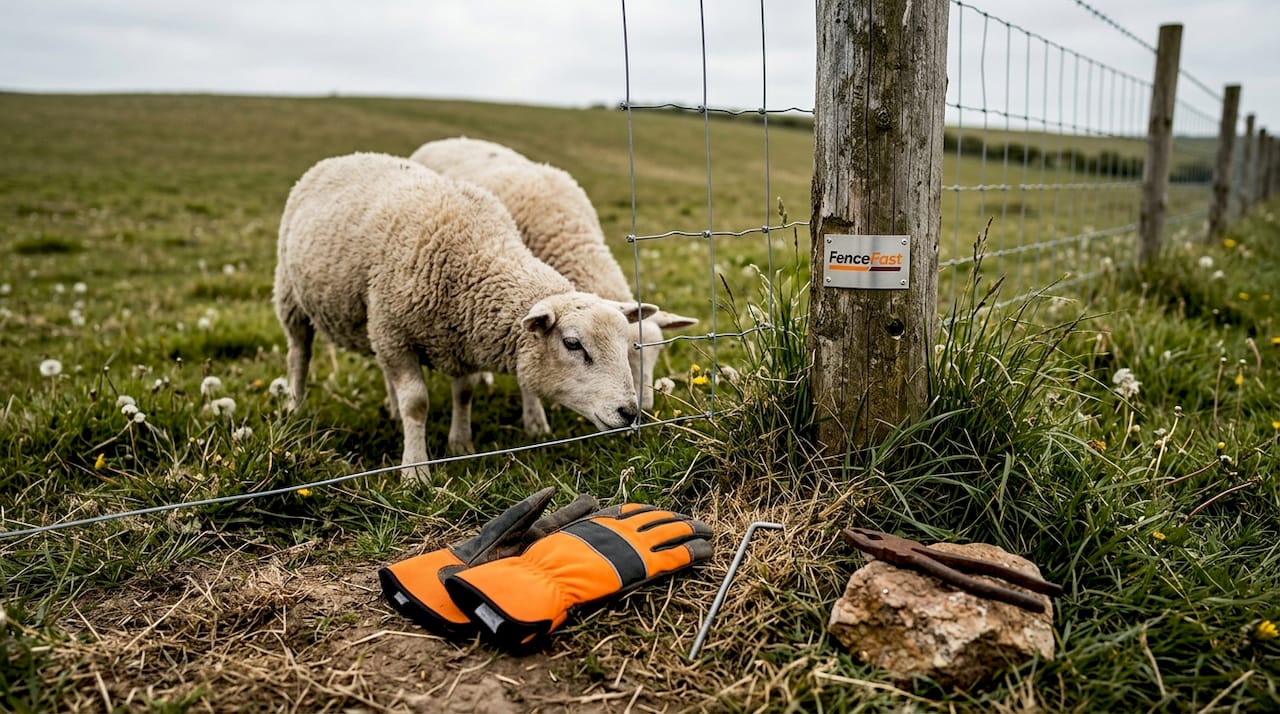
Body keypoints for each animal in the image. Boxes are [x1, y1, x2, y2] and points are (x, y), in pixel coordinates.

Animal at [274, 152, 657, 479]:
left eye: (625, 346)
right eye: (573, 344)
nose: (631, 412)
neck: (476, 255)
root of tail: (343, 157)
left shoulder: (461, 335)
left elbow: (465, 393)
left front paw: (460, 443)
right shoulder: (397, 331)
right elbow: (417, 403)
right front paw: (415, 471)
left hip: (373, 322)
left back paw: (391, 412)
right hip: (294, 297)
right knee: (299, 354)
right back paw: (296, 406)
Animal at [408, 137, 699, 413]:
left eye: (657, 352)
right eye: (627, 353)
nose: (646, 408)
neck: (566, 232)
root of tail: (446, 141)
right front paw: (535, 419)